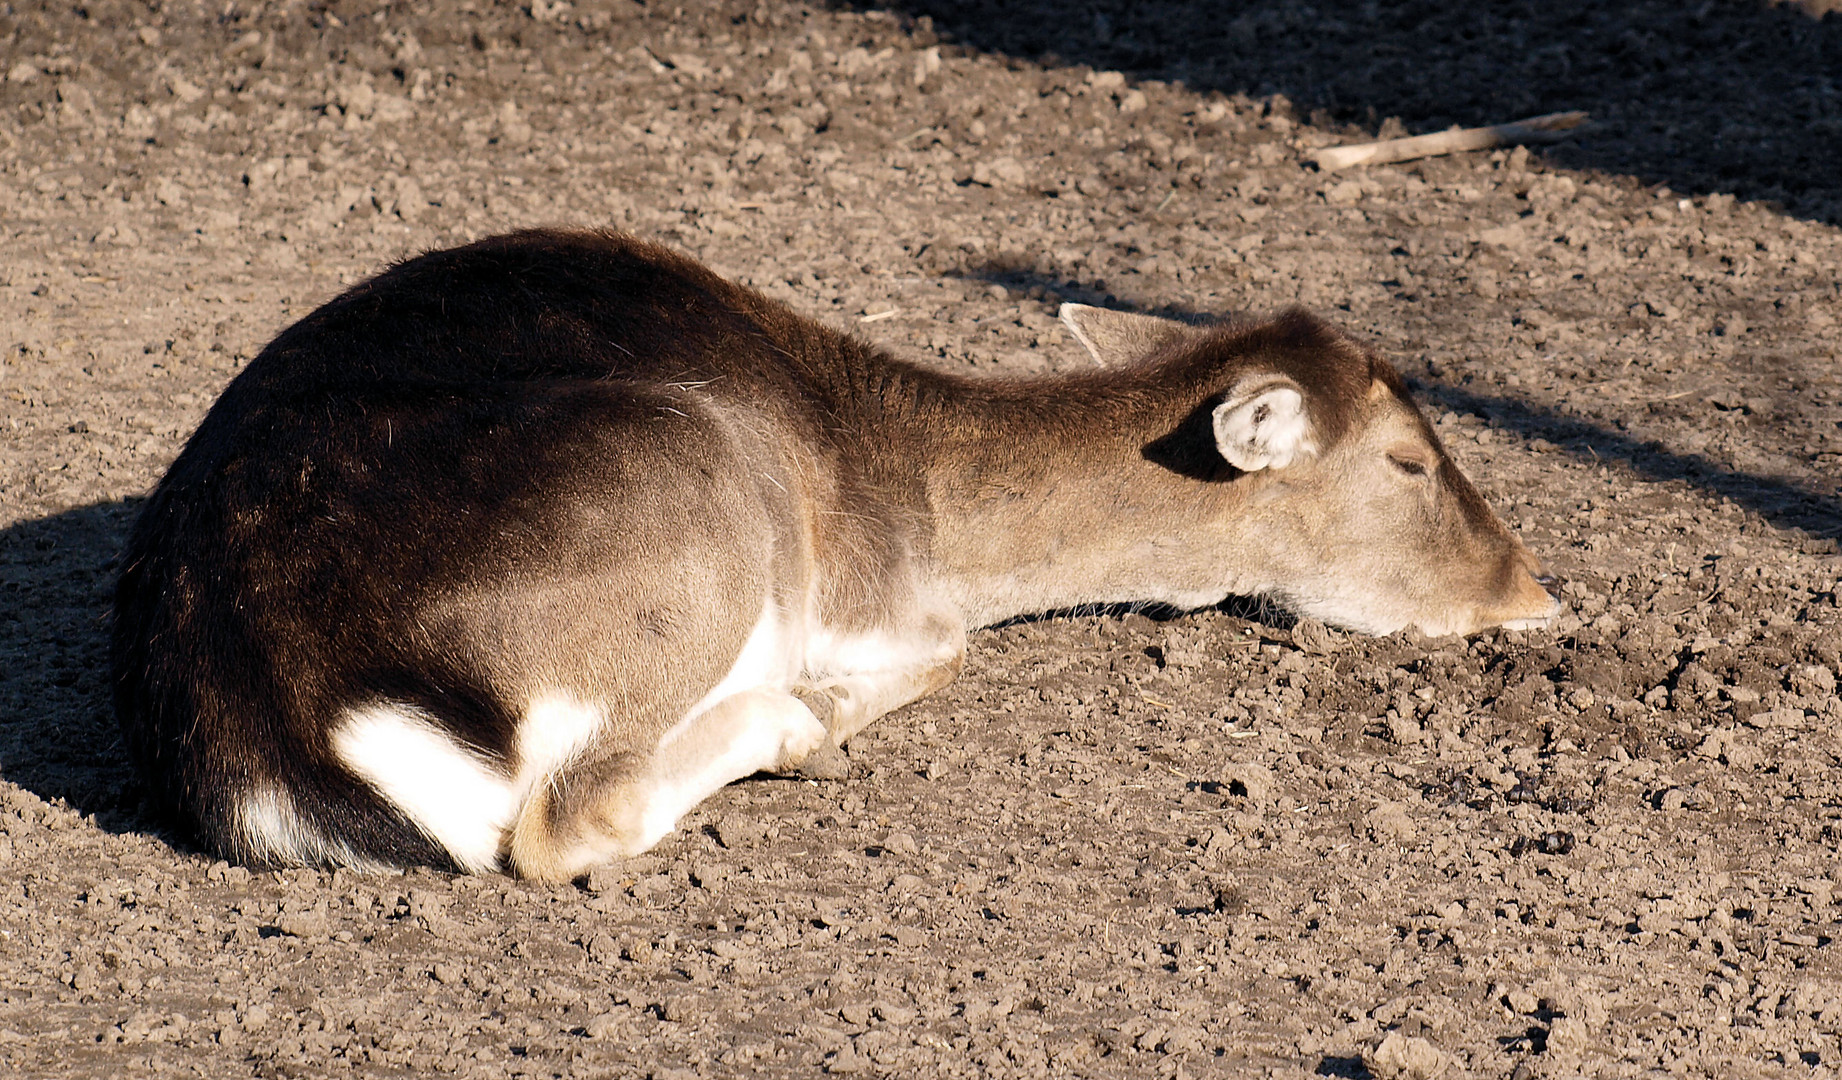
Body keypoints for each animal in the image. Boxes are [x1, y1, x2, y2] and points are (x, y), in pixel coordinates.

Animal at [111, 231, 1554, 877]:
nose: (1531, 591)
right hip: (703, 496)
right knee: (571, 820)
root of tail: (274, 729)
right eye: (1410, 460)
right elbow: (945, 650)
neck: (924, 507)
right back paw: (787, 720)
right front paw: (823, 710)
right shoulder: (889, 606)